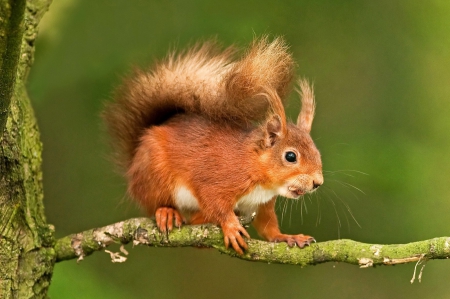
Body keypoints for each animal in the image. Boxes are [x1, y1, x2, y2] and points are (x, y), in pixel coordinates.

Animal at [104, 36, 324, 254]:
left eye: (317, 153)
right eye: (290, 156)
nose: (317, 182)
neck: (255, 168)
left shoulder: (261, 205)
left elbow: (268, 228)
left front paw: (288, 237)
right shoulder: (217, 180)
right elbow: (215, 204)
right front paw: (231, 226)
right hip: (155, 175)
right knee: (157, 203)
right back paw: (167, 212)